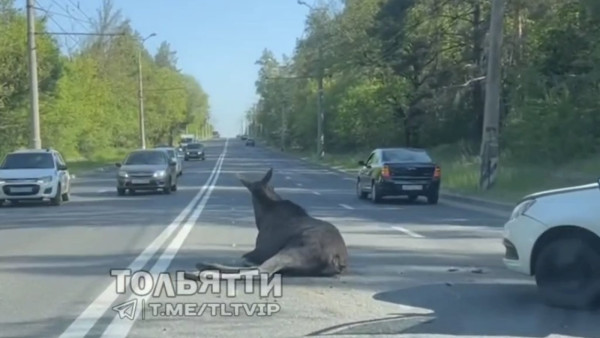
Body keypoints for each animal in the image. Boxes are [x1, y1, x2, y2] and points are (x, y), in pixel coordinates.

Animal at [185, 167, 350, 280]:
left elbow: (243, 258)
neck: (262, 216)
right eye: (273, 186)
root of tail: (336, 259)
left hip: (295, 248)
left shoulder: (260, 250)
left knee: (263, 270)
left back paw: (200, 272)